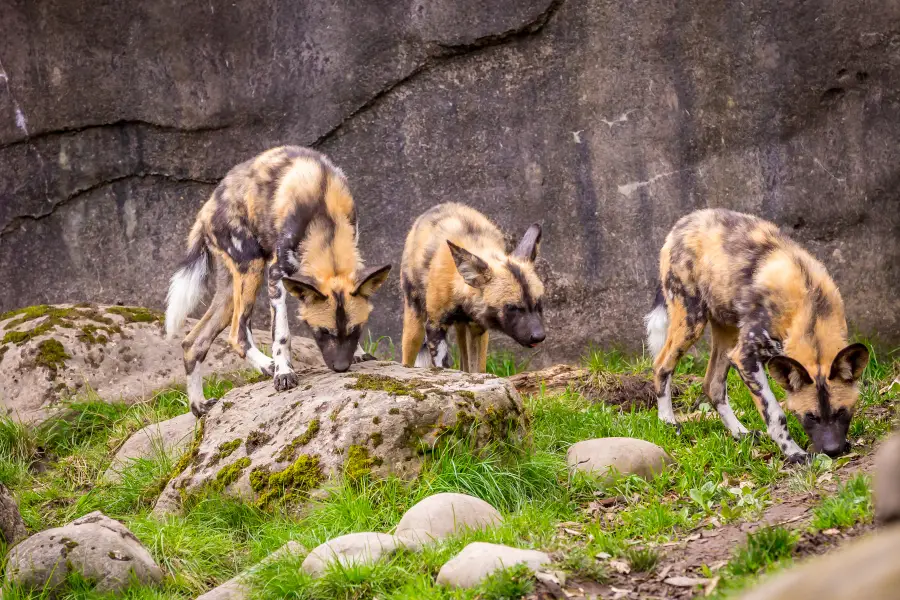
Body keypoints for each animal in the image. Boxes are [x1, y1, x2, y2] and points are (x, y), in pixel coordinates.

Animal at [165, 146, 390, 418]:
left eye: (355, 330)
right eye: (322, 332)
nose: (340, 367)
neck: (324, 217)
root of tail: (206, 208)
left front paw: (358, 353)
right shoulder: (277, 275)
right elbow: (282, 335)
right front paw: (284, 372)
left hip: (230, 291)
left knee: (193, 342)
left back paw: (199, 406)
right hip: (252, 267)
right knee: (237, 334)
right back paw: (268, 366)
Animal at [402, 203, 548, 370]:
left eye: (538, 304)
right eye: (512, 308)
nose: (539, 336)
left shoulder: (478, 329)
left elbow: (477, 370)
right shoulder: (435, 327)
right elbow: (442, 368)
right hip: (415, 323)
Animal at [648, 209, 872, 462]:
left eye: (842, 412)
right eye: (810, 416)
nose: (833, 451)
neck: (812, 308)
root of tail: (684, 222)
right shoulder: (745, 358)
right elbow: (775, 414)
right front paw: (794, 453)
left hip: (728, 334)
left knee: (713, 386)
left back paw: (741, 434)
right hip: (691, 322)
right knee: (662, 366)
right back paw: (668, 422)